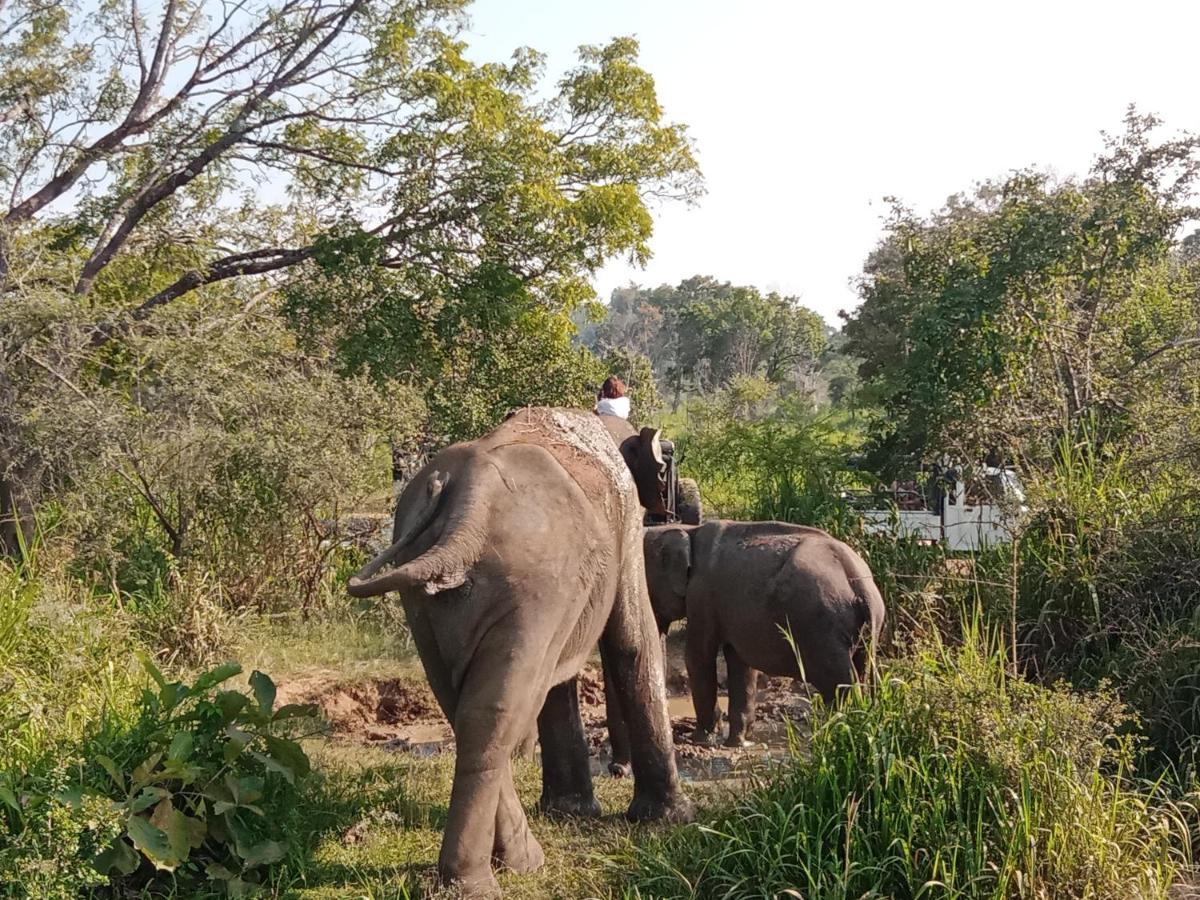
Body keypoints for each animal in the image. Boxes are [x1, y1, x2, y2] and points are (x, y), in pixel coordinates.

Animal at [345, 410, 696, 900]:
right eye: (670, 463)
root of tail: (467, 502)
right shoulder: (625, 517)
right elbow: (632, 637)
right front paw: (672, 820)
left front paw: (570, 813)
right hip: (533, 583)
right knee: (500, 709)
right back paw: (485, 881)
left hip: (432, 598)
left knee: (470, 706)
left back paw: (515, 862)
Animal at [609, 520, 883, 768]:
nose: (617, 768)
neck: (687, 530)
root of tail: (860, 585)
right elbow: (741, 663)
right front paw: (738, 742)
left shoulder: (702, 595)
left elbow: (699, 657)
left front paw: (702, 739)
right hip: (865, 631)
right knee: (863, 673)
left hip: (821, 629)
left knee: (841, 684)